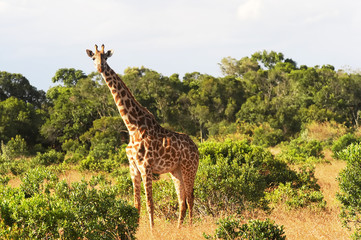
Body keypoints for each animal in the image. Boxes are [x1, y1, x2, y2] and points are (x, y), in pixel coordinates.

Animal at [86, 44, 200, 228]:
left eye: (106, 57)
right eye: (93, 58)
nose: (100, 68)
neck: (132, 126)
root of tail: (196, 149)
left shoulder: (146, 166)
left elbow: (149, 203)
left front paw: (152, 231)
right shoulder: (133, 167)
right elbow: (136, 204)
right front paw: (134, 230)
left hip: (189, 168)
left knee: (190, 199)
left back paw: (189, 229)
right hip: (175, 171)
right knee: (182, 201)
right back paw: (178, 229)